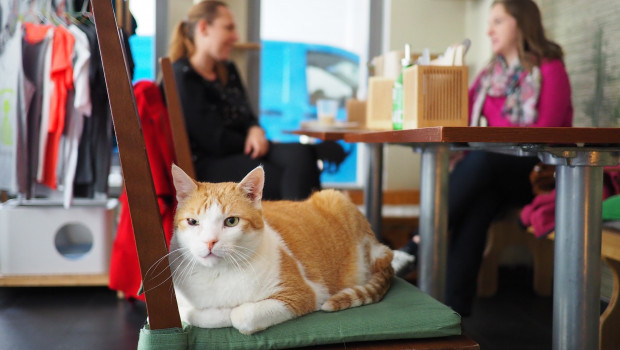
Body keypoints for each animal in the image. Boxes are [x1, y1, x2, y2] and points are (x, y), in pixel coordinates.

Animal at [167, 165, 394, 334]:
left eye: (231, 221)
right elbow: (192, 312)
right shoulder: (179, 300)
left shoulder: (306, 293)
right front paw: (220, 311)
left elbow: (241, 315)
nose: (210, 242)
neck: (219, 274)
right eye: (192, 222)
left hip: (337, 200)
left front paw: (230, 311)